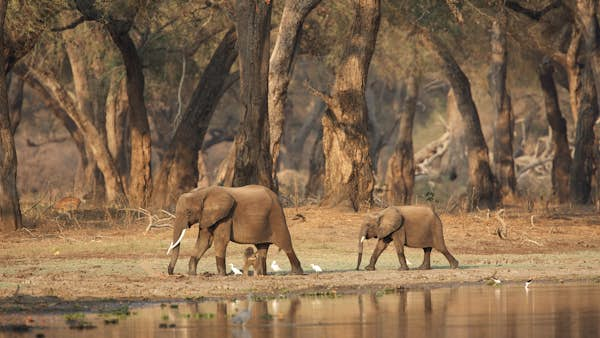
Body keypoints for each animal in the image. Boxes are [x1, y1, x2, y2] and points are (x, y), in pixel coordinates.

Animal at [165, 186, 302, 276]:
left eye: (188, 212)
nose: (170, 272)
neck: (202, 192)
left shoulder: (226, 217)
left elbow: (220, 241)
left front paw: (221, 275)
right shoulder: (207, 217)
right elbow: (204, 242)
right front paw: (192, 274)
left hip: (277, 217)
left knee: (286, 244)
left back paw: (296, 273)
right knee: (262, 247)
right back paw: (261, 274)